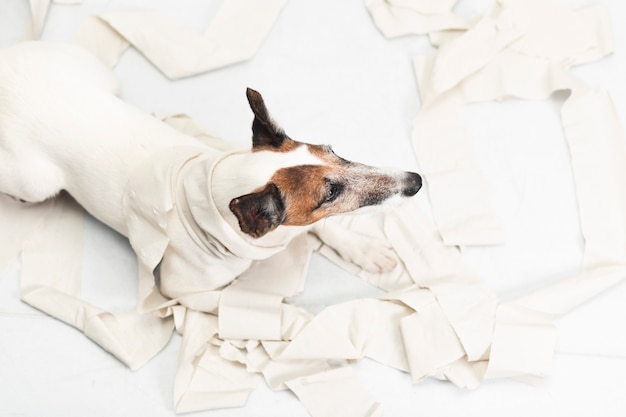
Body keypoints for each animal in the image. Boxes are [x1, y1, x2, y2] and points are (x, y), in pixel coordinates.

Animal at [0, 41, 422, 300]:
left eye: (333, 150)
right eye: (330, 192)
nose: (416, 181)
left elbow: (324, 227)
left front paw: (362, 249)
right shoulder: (183, 290)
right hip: (36, 183)